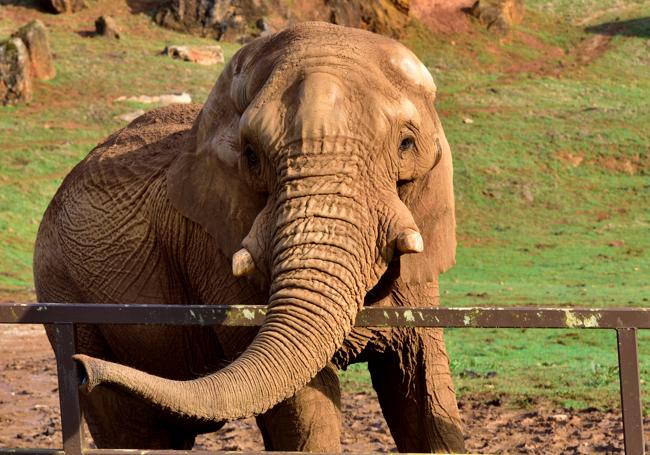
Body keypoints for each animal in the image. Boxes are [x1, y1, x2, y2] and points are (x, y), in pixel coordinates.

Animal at [33, 20, 464, 452]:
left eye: (406, 144)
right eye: (251, 156)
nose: (82, 371)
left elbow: (422, 388)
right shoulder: (213, 247)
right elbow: (306, 401)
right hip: (64, 289)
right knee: (132, 430)